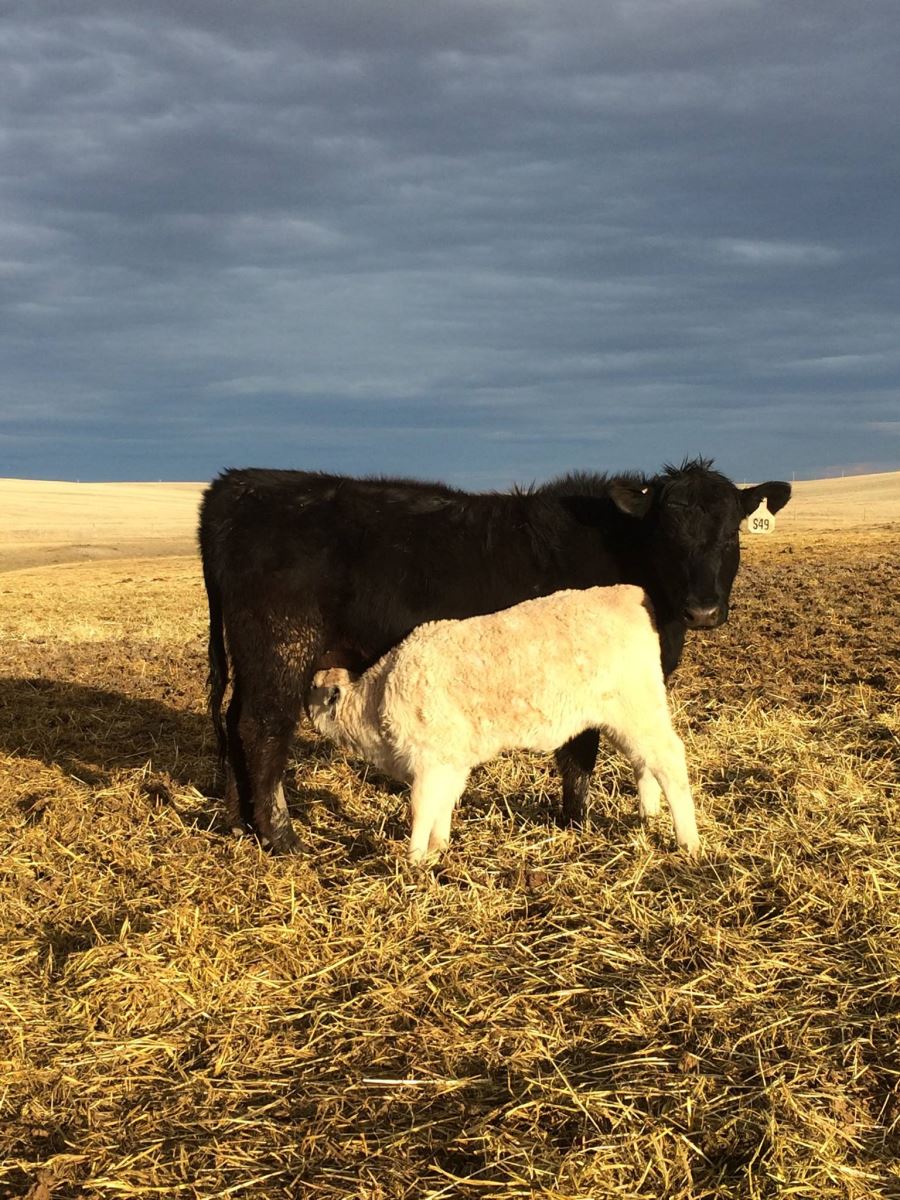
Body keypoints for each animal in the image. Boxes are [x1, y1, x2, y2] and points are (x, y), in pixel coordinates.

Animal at [307, 583, 700, 859]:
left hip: (637, 708)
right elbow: (444, 803)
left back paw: (689, 841)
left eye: (312, 690)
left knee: (668, 759)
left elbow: (421, 808)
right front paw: (438, 848)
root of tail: (629, 593)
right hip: (626, 717)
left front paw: (415, 858)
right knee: (644, 762)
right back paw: (648, 814)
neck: (377, 700)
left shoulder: (431, 760)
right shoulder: (452, 761)